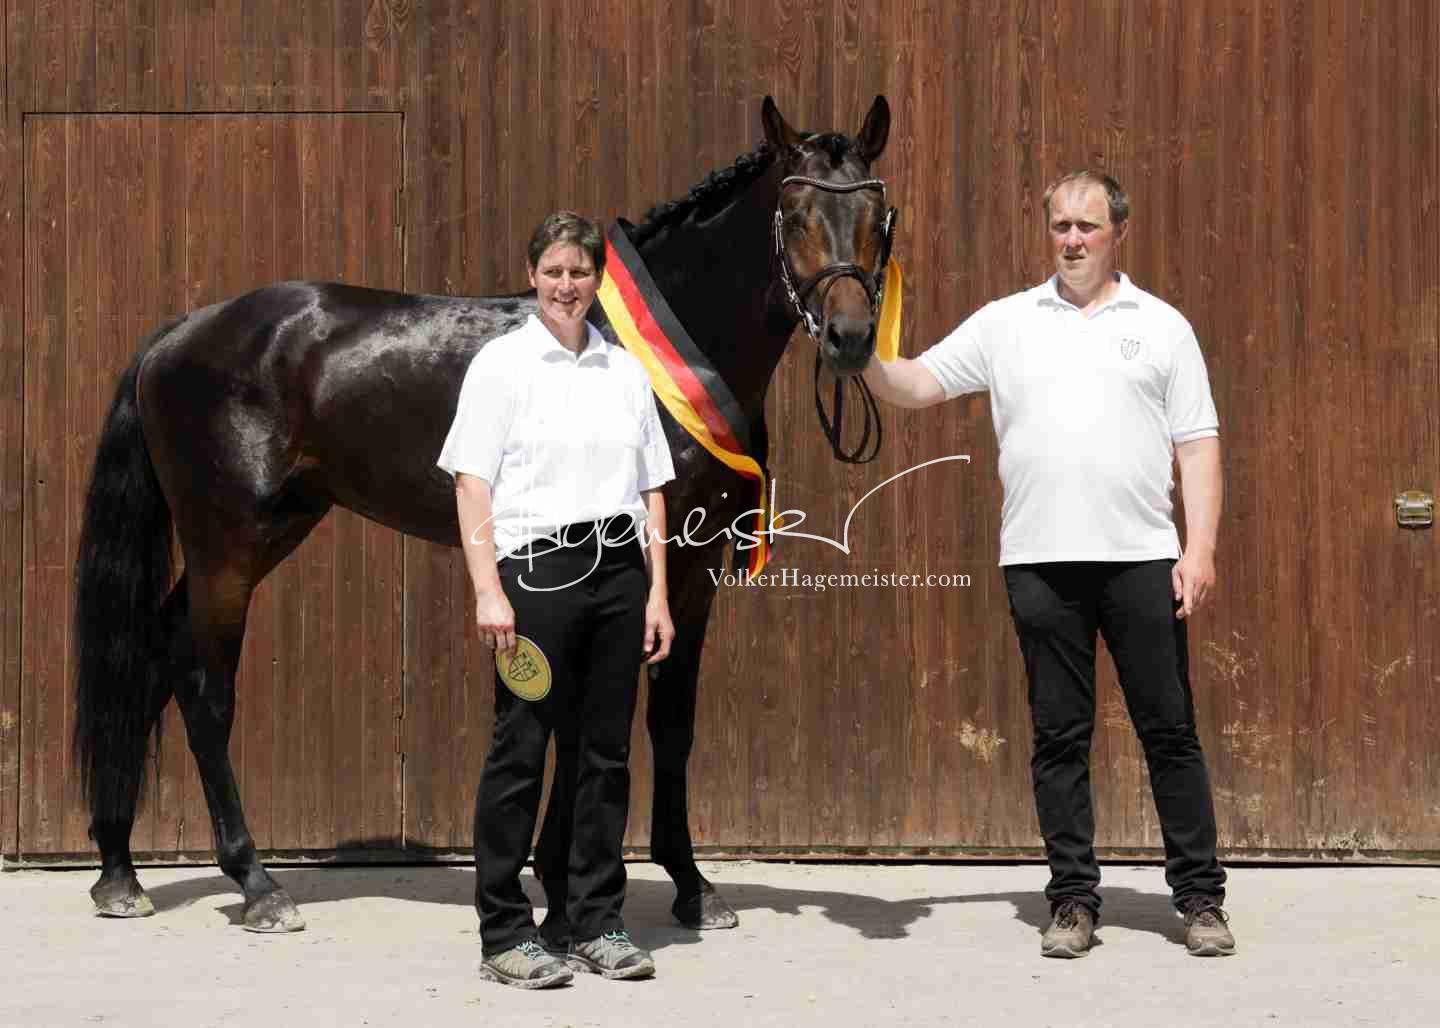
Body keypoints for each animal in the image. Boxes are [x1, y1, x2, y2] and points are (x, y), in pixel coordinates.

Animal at [73, 95, 894, 933]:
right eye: (794, 214)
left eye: (877, 214)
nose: (851, 338)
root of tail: (180, 333)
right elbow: (589, 708)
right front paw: (564, 882)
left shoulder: (693, 568)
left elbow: (671, 718)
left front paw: (691, 888)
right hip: (227, 545)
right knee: (205, 689)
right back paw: (257, 884)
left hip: (266, 532)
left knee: (154, 652)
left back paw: (120, 874)